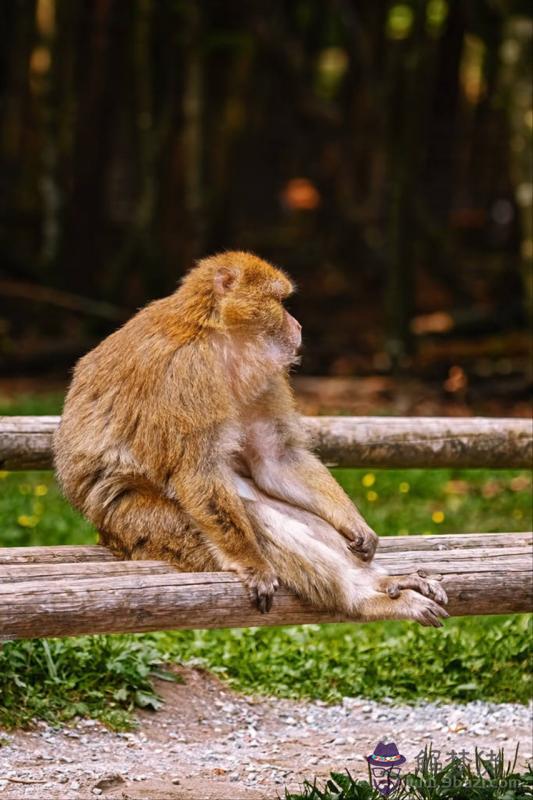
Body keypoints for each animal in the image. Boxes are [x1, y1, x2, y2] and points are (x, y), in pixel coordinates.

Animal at [55, 253, 444, 628]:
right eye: (280, 302)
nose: (298, 325)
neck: (214, 333)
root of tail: (107, 537)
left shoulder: (265, 375)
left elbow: (275, 459)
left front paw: (353, 524)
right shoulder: (188, 373)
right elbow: (196, 472)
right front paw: (252, 564)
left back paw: (385, 582)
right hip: (143, 527)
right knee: (249, 517)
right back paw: (364, 599)